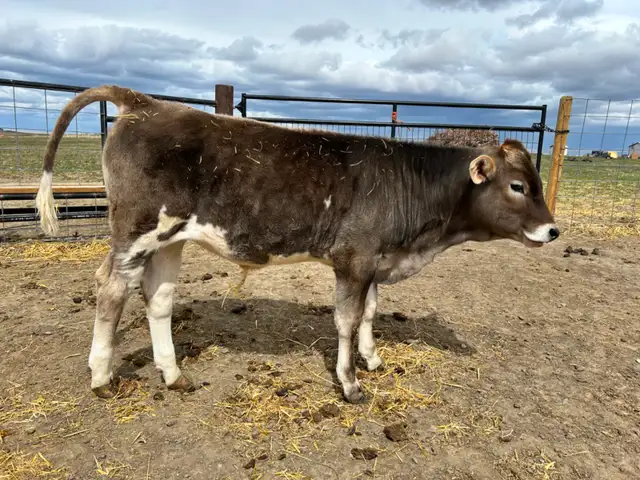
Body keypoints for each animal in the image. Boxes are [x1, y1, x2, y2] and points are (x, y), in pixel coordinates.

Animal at [35, 85, 559, 404]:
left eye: (535, 181)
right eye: (517, 186)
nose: (553, 230)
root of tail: (145, 102)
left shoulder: (375, 259)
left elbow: (369, 313)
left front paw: (372, 359)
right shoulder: (355, 257)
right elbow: (346, 319)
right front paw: (349, 382)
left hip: (170, 236)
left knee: (158, 298)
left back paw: (173, 373)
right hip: (135, 230)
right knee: (110, 289)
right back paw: (102, 377)